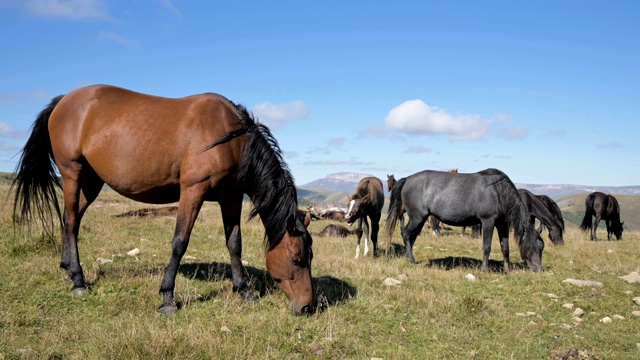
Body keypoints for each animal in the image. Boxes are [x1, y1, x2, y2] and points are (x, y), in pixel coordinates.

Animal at [10, 84, 316, 316]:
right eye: (297, 259)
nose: (306, 307)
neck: (231, 138)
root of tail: (63, 100)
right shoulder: (193, 191)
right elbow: (180, 242)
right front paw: (168, 298)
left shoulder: (231, 197)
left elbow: (234, 244)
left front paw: (244, 291)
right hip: (72, 172)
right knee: (73, 222)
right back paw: (78, 281)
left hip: (92, 181)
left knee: (68, 218)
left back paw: (66, 267)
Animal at [384, 169, 544, 272]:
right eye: (533, 246)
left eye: (541, 248)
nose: (539, 270)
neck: (499, 192)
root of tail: (407, 179)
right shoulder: (488, 222)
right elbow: (487, 247)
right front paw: (484, 269)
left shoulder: (502, 224)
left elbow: (505, 248)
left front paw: (508, 270)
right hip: (417, 217)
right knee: (406, 234)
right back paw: (411, 259)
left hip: (420, 218)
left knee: (412, 236)